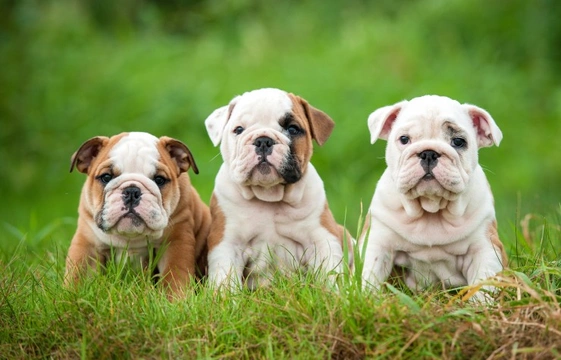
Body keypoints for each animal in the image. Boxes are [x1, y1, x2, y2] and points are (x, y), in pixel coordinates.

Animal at [65, 132, 210, 298]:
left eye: (159, 180)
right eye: (106, 177)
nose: (132, 191)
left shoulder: (175, 242)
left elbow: (174, 275)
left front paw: (174, 299)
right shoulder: (88, 243)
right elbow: (78, 273)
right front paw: (72, 296)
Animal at [203, 88, 352, 292]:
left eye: (293, 129)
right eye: (239, 130)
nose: (263, 141)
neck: (269, 196)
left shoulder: (323, 238)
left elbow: (330, 273)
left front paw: (333, 294)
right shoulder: (227, 243)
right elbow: (225, 278)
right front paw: (226, 298)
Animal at [358, 94, 508, 300]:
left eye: (458, 142)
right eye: (404, 139)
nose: (428, 153)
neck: (431, 208)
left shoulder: (484, 247)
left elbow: (483, 282)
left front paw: (481, 304)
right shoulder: (377, 241)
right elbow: (370, 275)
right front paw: (367, 298)